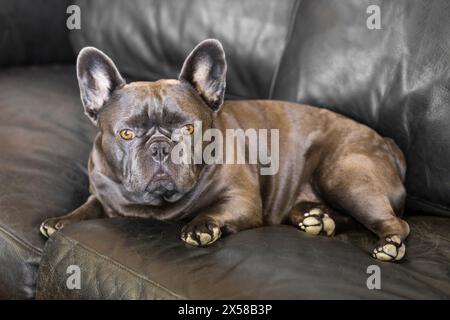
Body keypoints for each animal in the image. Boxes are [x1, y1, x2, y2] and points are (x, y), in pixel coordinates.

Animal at [40, 38, 410, 262]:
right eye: (127, 134)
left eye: (189, 129)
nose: (160, 147)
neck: (157, 206)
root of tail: (388, 143)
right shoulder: (101, 191)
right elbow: (89, 206)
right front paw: (62, 221)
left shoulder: (242, 200)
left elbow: (215, 210)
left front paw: (201, 227)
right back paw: (316, 219)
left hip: (343, 176)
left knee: (395, 223)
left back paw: (387, 245)